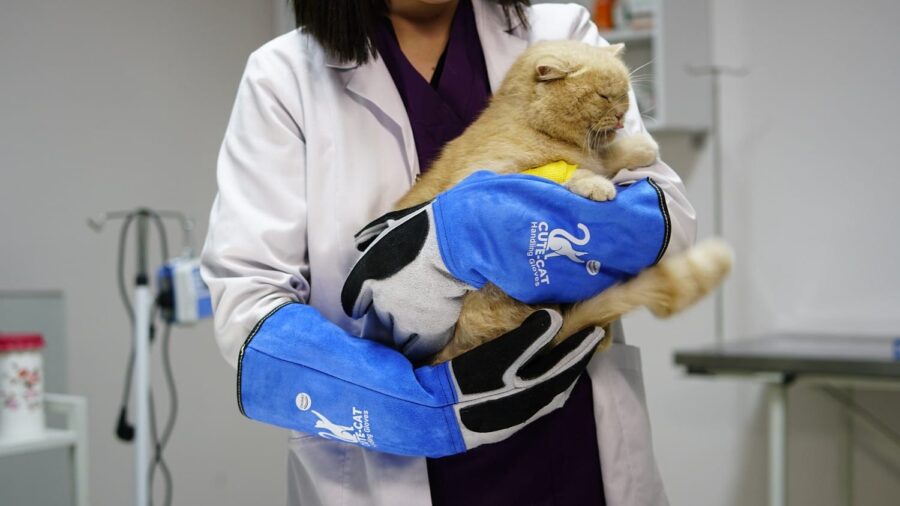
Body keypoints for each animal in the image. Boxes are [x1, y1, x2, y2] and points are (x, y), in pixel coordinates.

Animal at [394, 40, 733, 364]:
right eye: (604, 96)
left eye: (624, 95)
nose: (622, 118)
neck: (534, 125)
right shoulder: (492, 174)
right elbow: (570, 170)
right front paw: (596, 183)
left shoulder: (590, 153)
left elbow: (602, 156)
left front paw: (639, 148)